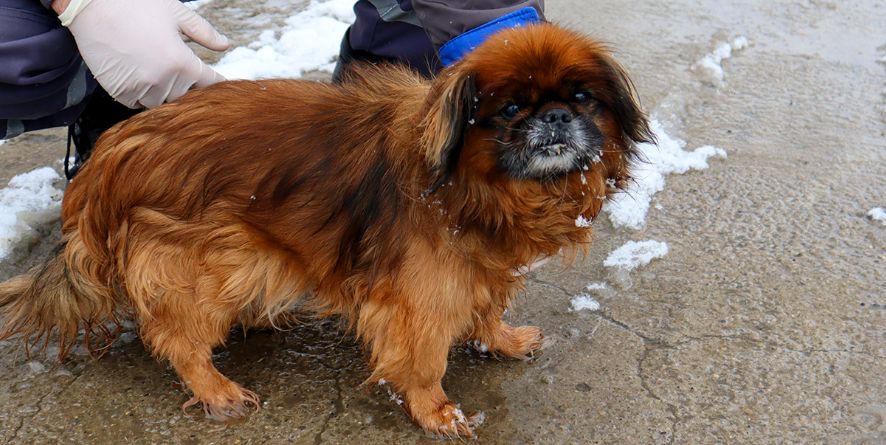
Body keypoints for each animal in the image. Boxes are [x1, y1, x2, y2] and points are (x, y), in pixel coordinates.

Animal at [0, 23, 652, 434]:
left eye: (582, 98)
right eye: (511, 109)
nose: (556, 116)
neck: (477, 186)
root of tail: (108, 159)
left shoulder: (475, 268)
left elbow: (486, 308)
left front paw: (501, 339)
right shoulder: (422, 295)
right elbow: (423, 361)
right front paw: (436, 411)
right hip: (214, 261)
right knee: (175, 338)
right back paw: (216, 391)